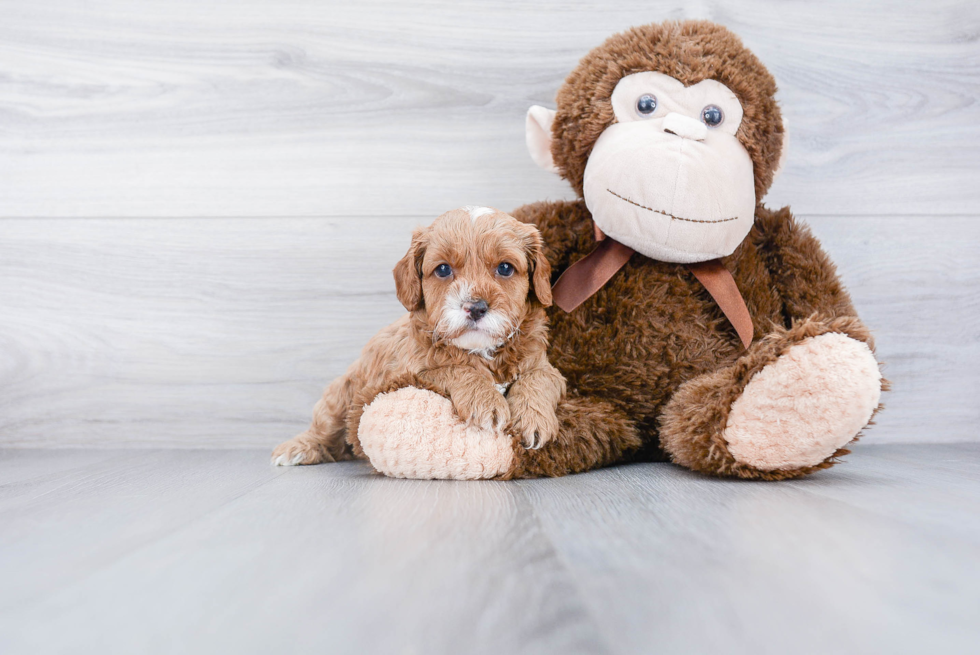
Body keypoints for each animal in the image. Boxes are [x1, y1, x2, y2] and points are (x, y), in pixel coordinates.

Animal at [270, 205, 568, 466]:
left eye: (505, 268)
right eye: (443, 269)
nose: (475, 307)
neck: (481, 351)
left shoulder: (544, 366)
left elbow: (539, 378)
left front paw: (533, 419)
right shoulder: (407, 373)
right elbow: (454, 369)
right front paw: (486, 401)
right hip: (341, 394)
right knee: (324, 428)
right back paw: (296, 449)